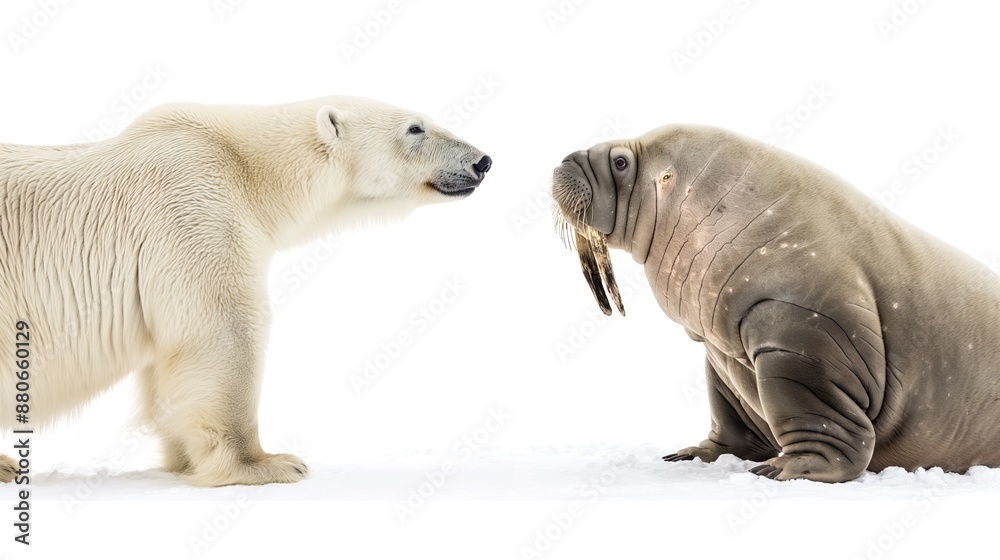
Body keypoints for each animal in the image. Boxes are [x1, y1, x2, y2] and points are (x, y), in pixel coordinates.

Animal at [0, 96, 491, 486]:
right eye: (415, 127)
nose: (482, 161)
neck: (246, 166)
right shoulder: (192, 206)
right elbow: (222, 332)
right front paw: (269, 464)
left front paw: (185, 460)